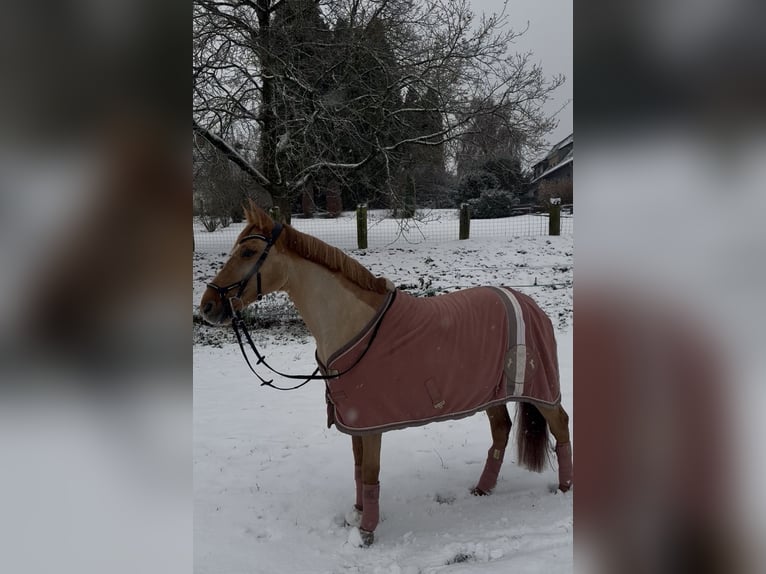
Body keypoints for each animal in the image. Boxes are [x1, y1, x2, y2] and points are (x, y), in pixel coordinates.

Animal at [199, 203, 573, 546]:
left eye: (248, 252)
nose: (207, 306)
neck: (354, 324)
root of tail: (530, 303)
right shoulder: (354, 420)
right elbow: (357, 469)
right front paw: (357, 515)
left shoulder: (372, 422)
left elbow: (370, 472)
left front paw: (367, 532)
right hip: (491, 393)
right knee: (501, 430)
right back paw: (483, 489)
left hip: (541, 389)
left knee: (560, 424)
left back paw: (564, 487)